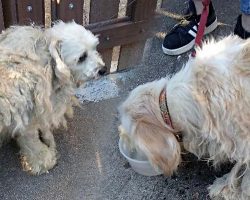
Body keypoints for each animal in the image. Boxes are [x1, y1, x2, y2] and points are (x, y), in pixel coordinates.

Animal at [0, 21, 105, 175]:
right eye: (82, 57)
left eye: (95, 48)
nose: (103, 69)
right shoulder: (25, 116)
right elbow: (31, 141)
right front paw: (44, 160)